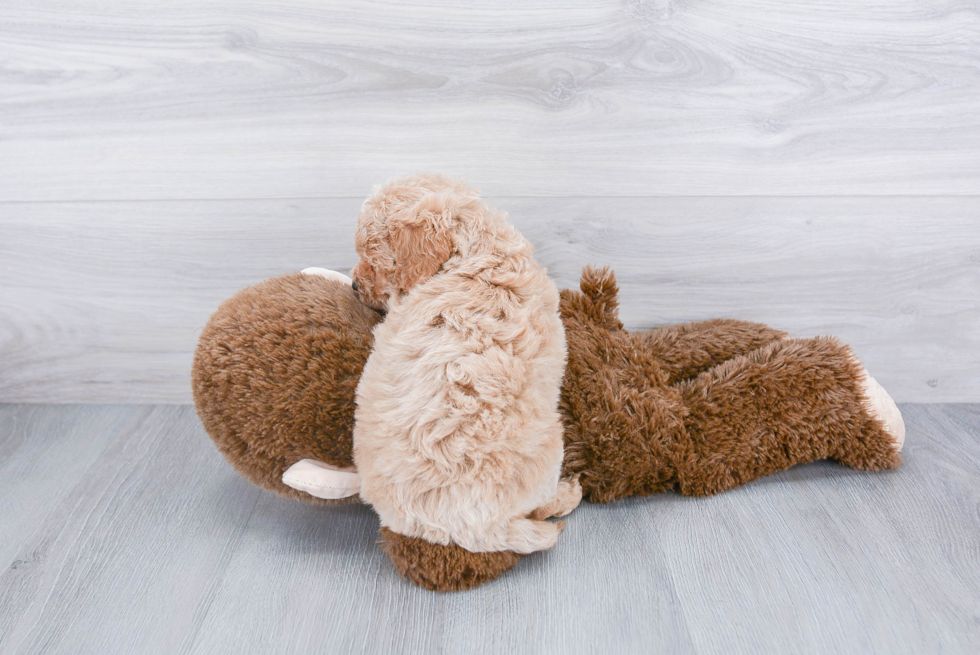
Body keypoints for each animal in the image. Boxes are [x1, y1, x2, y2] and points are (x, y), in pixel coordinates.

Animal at [350, 174, 580, 552]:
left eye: (375, 260)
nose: (354, 285)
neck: (479, 252)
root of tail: (476, 531)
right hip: (548, 448)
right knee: (541, 508)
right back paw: (567, 494)